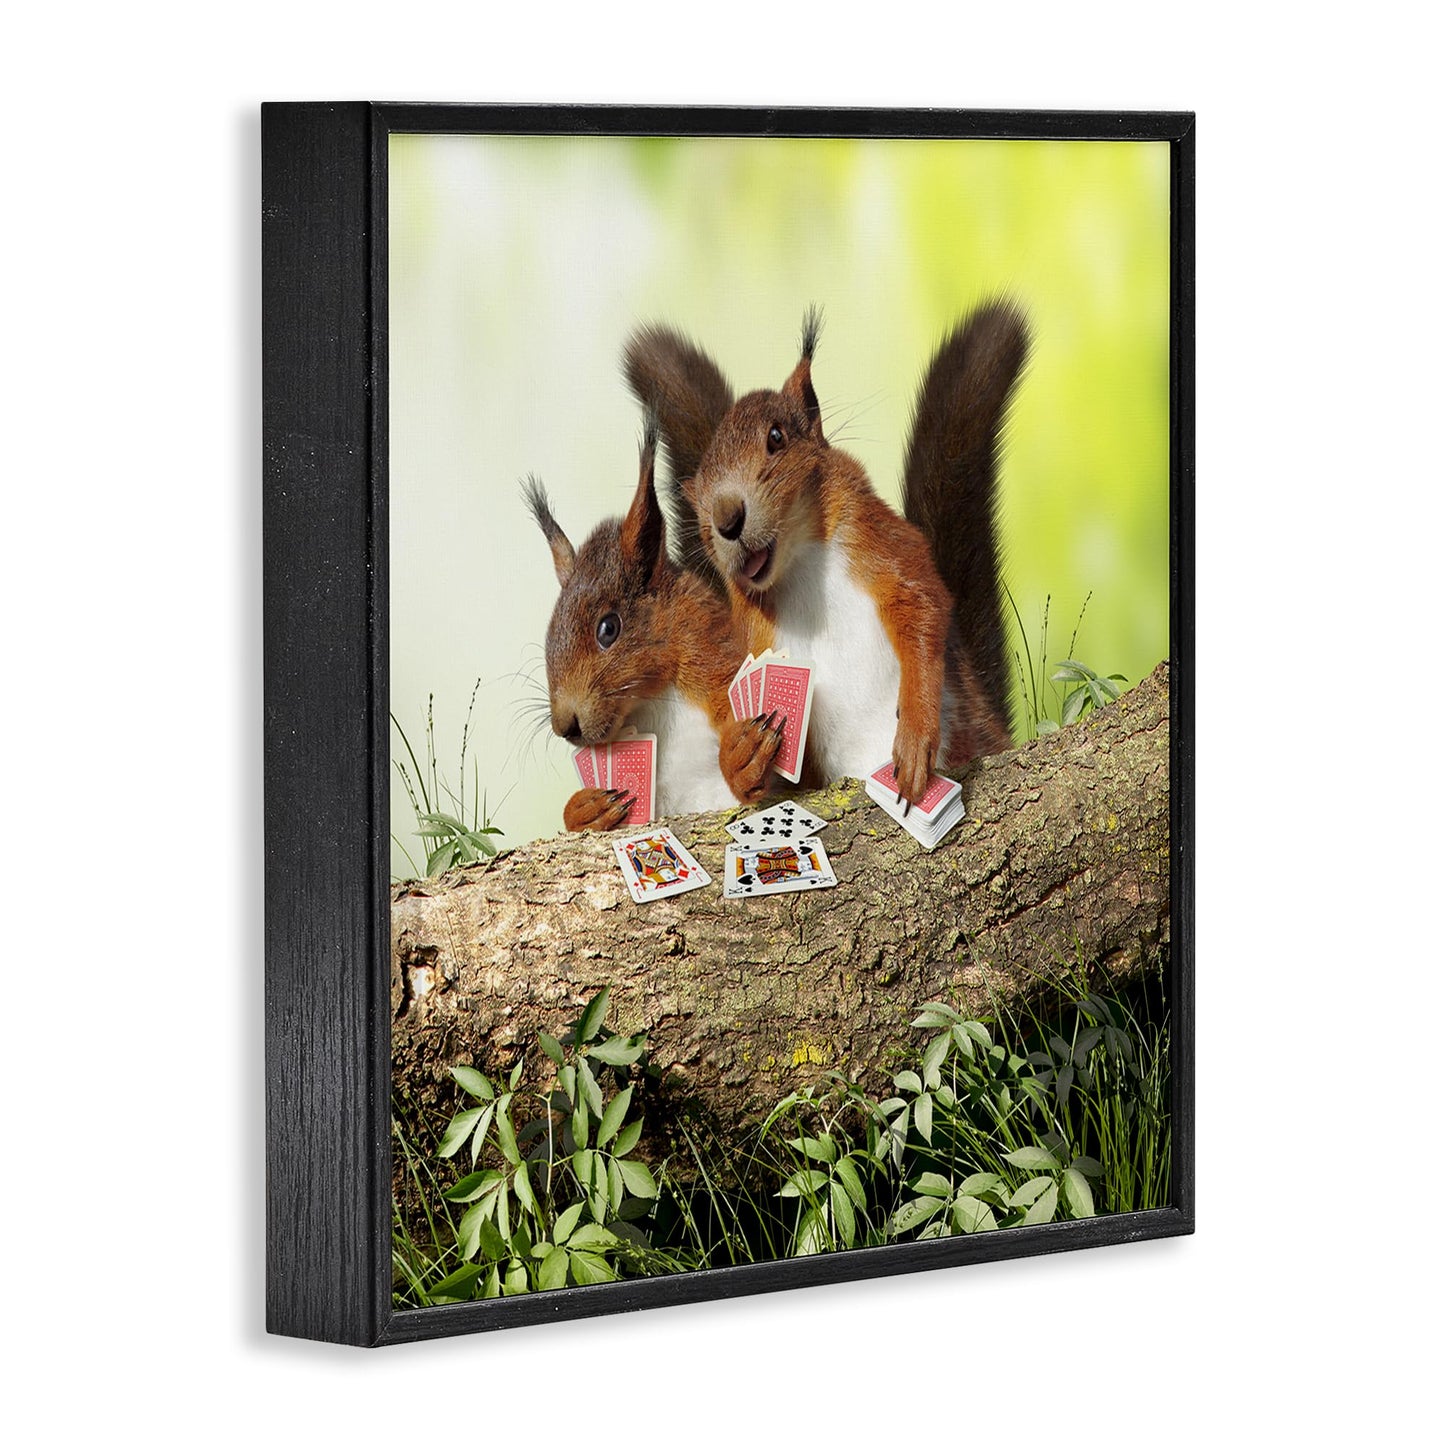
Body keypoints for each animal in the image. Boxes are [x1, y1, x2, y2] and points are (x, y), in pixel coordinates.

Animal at [523, 419, 784, 832]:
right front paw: (585, 808)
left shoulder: (714, 662)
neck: (652, 701)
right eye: (548, 634)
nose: (566, 726)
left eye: (608, 629)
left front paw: (744, 755)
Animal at [624, 302, 1027, 808]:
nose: (726, 518)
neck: (798, 567)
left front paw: (916, 737)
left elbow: (922, 605)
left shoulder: (881, 541)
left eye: (777, 436)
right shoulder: (750, 639)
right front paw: (741, 757)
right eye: (696, 496)